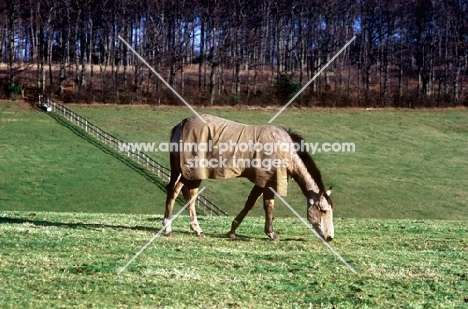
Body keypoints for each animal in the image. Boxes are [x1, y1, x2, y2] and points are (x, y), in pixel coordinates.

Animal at [163, 113, 334, 241]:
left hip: (191, 174)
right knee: (174, 192)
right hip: (190, 172)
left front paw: (232, 231)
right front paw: (271, 234)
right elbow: (268, 206)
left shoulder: (262, 182)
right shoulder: (268, 182)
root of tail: (181, 124)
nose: (330, 237)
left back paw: (197, 230)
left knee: (189, 196)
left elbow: (250, 203)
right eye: (324, 211)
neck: (284, 148)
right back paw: (168, 228)